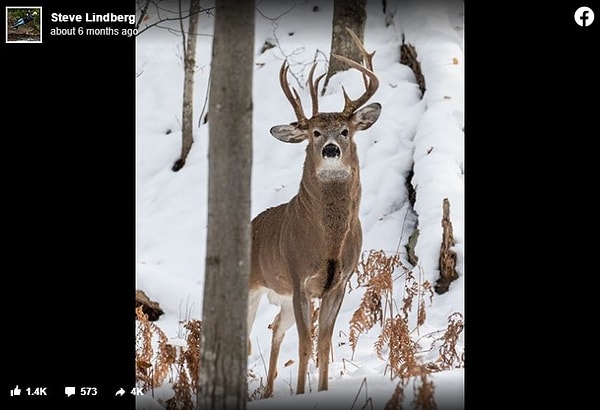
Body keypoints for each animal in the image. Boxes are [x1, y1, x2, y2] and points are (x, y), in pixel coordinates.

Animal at [247, 28, 380, 398]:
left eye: (345, 131)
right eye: (315, 133)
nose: (331, 150)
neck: (327, 243)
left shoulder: (340, 282)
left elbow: (323, 342)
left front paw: (321, 392)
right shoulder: (298, 279)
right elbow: (306, 344)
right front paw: (302, 393)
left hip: (282, 298)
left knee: (275, 327)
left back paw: (268, 390)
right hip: (252, 286)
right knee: (244, 336)